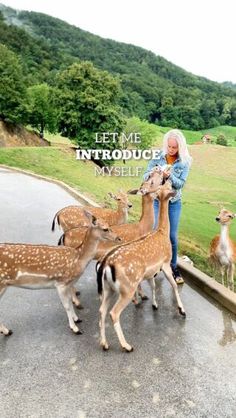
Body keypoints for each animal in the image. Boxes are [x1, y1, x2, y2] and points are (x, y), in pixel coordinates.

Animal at [97, 182, 185, 352]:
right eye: (167, 186)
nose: (171, 184)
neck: (162, 232)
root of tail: (106, 265)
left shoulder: (151, 272)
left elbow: (153, 285)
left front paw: (154, 304)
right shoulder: (165, 263)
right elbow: (174, 285)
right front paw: (182, 310)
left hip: (108, 288)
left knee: (102, 310)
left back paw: (104, 343)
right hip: (127, 288)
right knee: (113, 313)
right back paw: (126, 345)